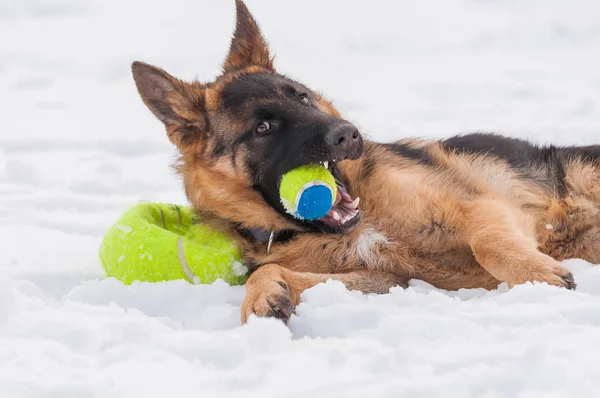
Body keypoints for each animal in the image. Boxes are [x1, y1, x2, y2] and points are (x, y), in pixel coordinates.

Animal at [132, 0, 600, 324]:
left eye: (302, 97)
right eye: (263, 127)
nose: (347, 133)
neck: (362, 215)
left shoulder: (481, 208)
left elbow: (490, 244)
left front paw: (535, 273)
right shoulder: (387, 279)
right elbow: (271, 274)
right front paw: (264, 295)